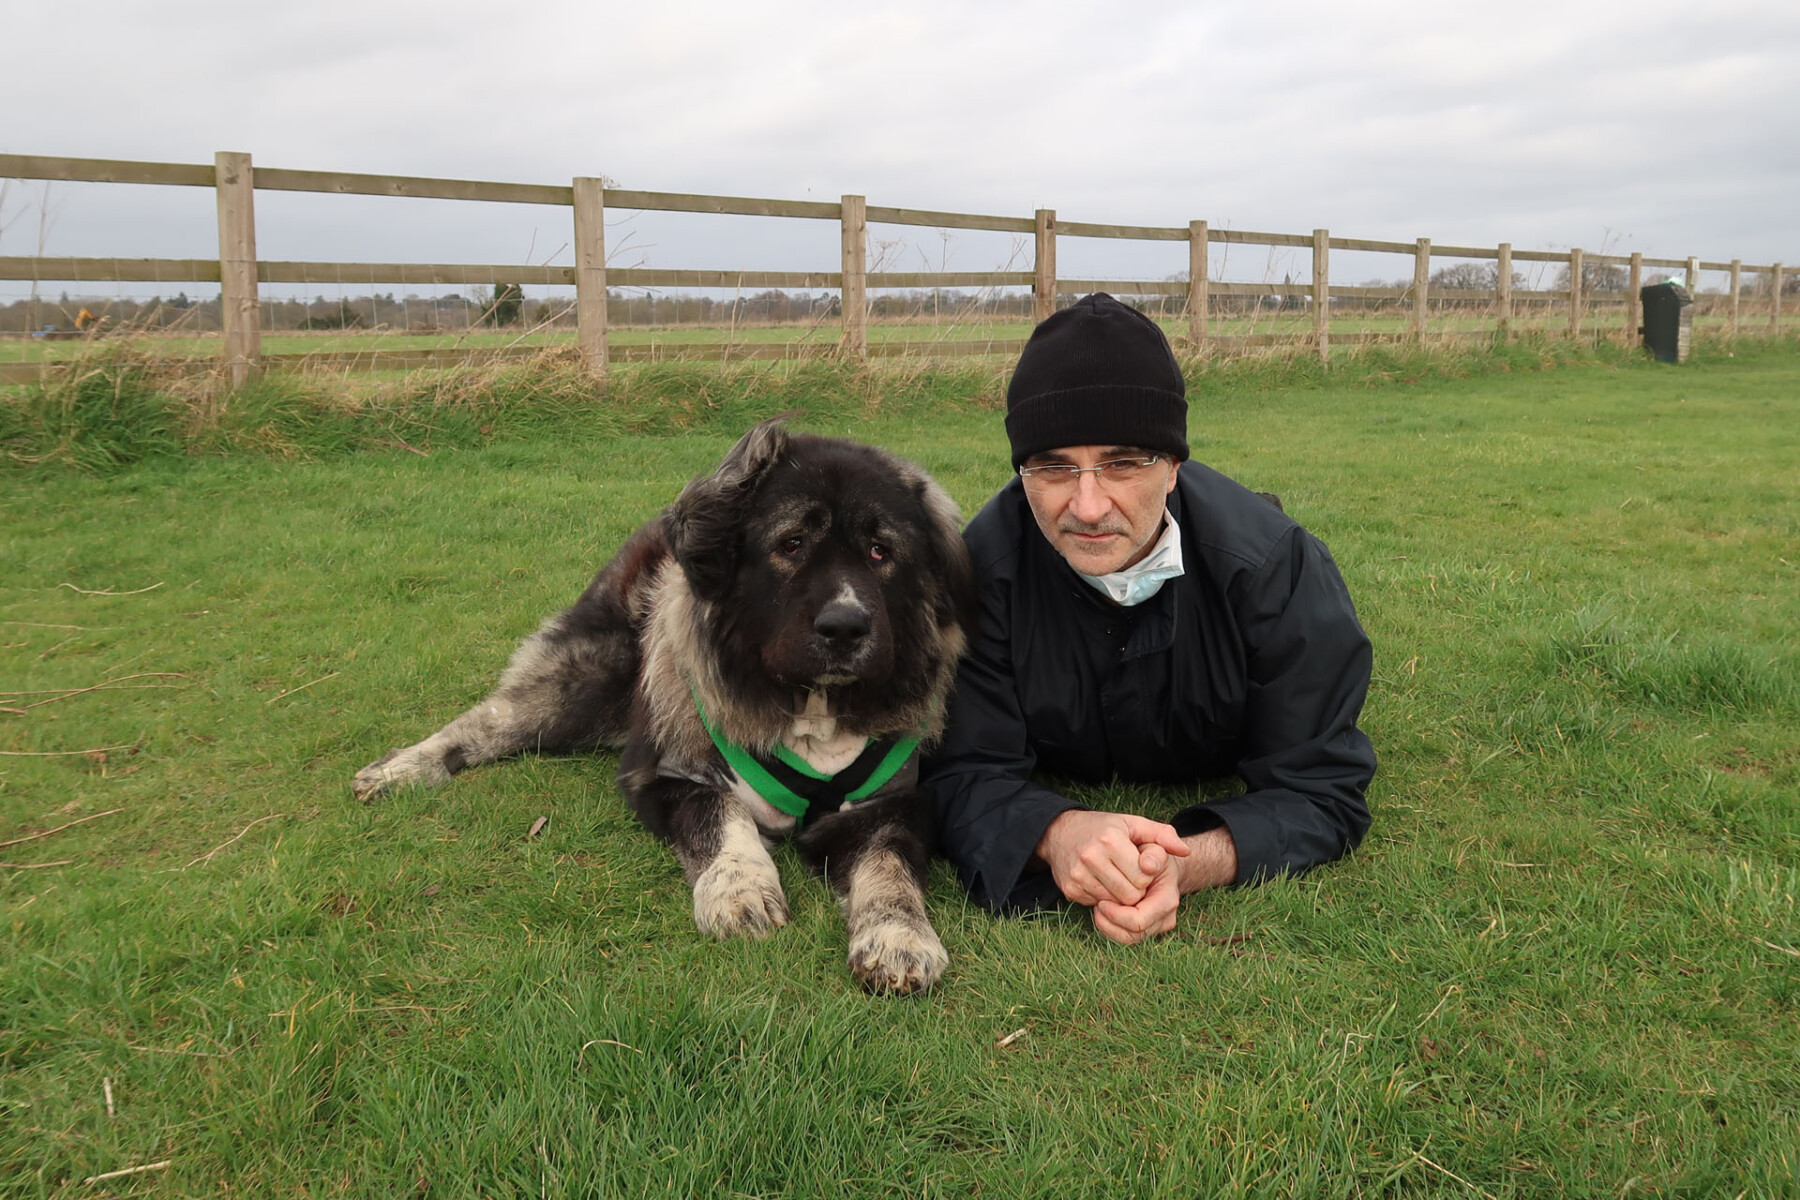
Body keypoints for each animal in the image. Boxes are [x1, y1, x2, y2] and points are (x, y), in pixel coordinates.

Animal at [351, 422, 972, 993]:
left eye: (880, 551)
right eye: (792, 544)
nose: (845, 626)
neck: (810, 705)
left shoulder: (889, 804)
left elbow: (888, 864)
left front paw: (898, 936)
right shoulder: (667, 776)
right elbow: (720, 815)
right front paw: (740, 888)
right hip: (588, 682)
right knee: (489, 721)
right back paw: (402, 768)